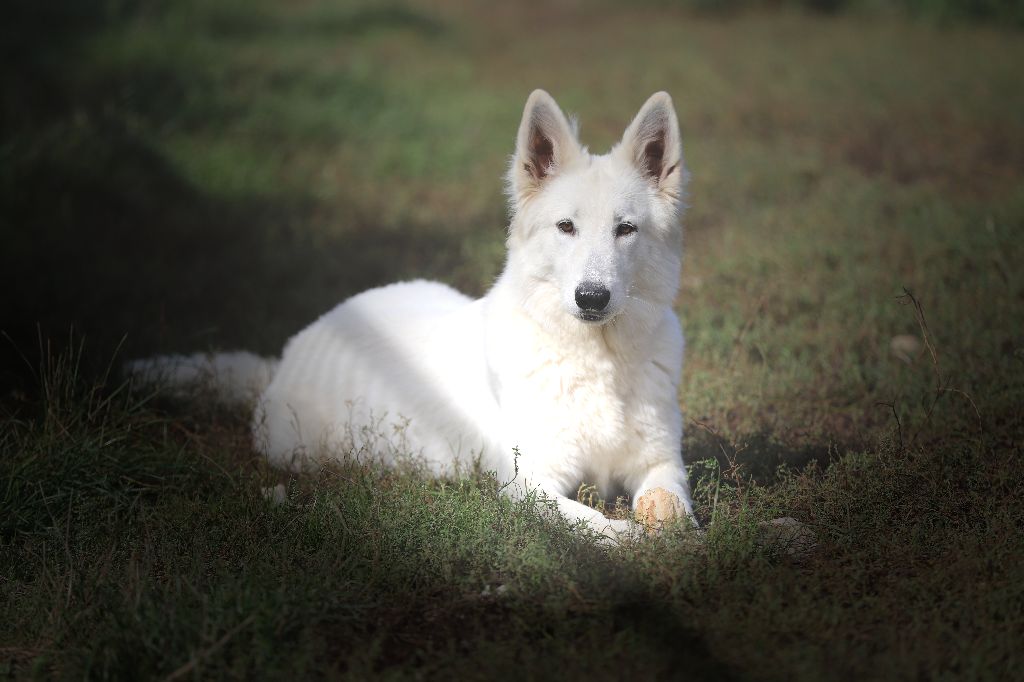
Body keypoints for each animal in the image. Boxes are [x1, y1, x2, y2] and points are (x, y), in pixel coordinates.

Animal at [132, 89, 696, 536]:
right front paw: (636, 543)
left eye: (626, 229)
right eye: (566, 227)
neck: (599, 361)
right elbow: (602, 525)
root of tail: (290, 353)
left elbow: (673, 510)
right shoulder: (527, 484)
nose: (591, 298)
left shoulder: (662, 464)